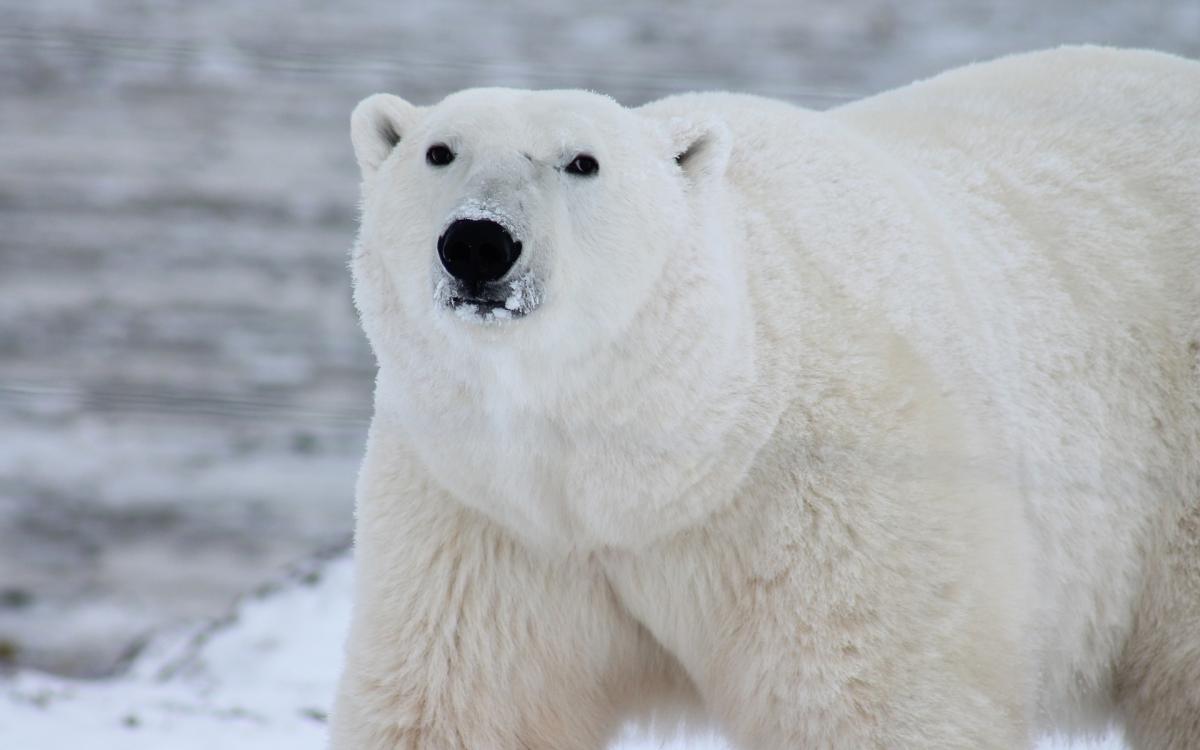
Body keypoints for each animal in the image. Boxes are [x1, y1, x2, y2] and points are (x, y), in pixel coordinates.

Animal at [329, 46, 1200, 750]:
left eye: (582, 162)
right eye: (439, 150)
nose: (478, 242)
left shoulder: (833, 500)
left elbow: (872, 702)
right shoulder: (486, 517)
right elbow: (463, 704)